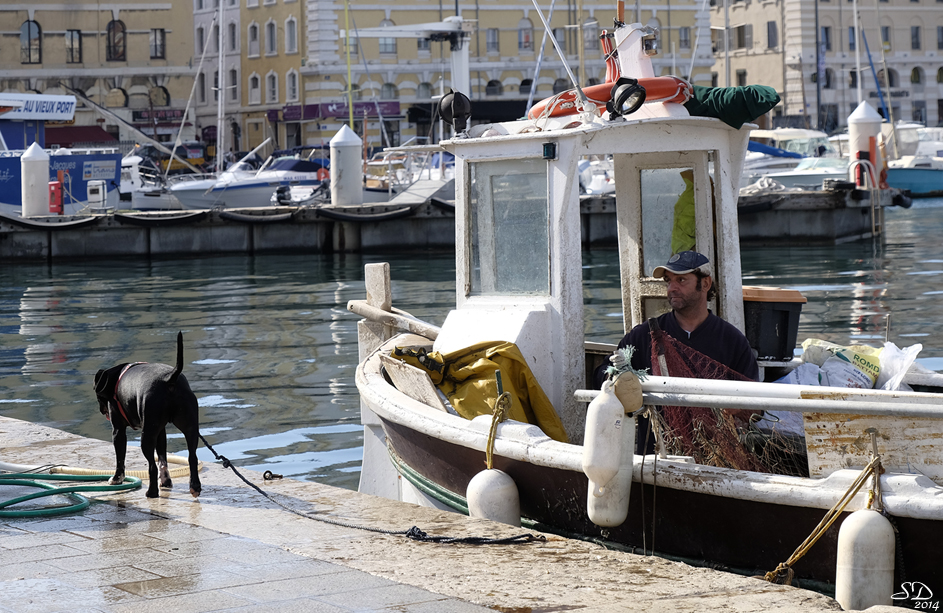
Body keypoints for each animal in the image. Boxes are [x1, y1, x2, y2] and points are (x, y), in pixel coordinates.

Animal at [93, 330, 201, 498]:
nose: (101, 410)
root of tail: (170, 377)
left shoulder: (118, 431)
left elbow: (120, 459)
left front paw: (117, 479)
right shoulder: (161, 431)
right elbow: (163, 457)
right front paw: (166, 481)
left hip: (147, 436)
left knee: (152, 466)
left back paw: (152, 492)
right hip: (190, 428)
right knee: (192, 458)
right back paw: (194, 487)